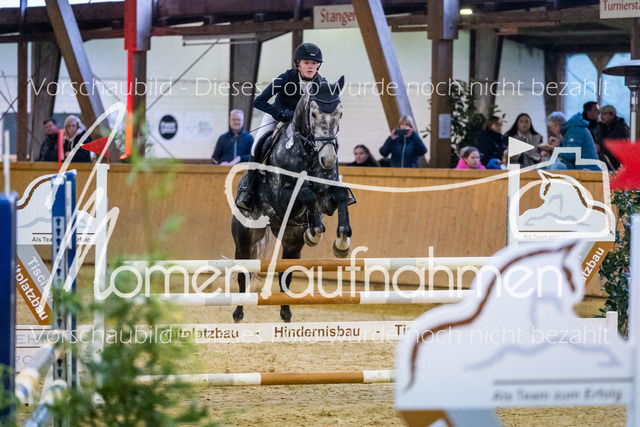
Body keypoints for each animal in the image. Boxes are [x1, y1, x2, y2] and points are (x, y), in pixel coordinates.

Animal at [231, 76, 352, 323]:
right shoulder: (284, 196)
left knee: (285, 274)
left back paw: (286, 312)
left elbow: (340, 195)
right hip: (245, 237)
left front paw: (341, 243)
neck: (308, 151)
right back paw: (238, 312)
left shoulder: (326, 198)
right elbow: (306, 193)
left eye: (340, 113)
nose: (327, 159)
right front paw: (315, 232)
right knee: (243, 272)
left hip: (291, 241)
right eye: (313, 114)